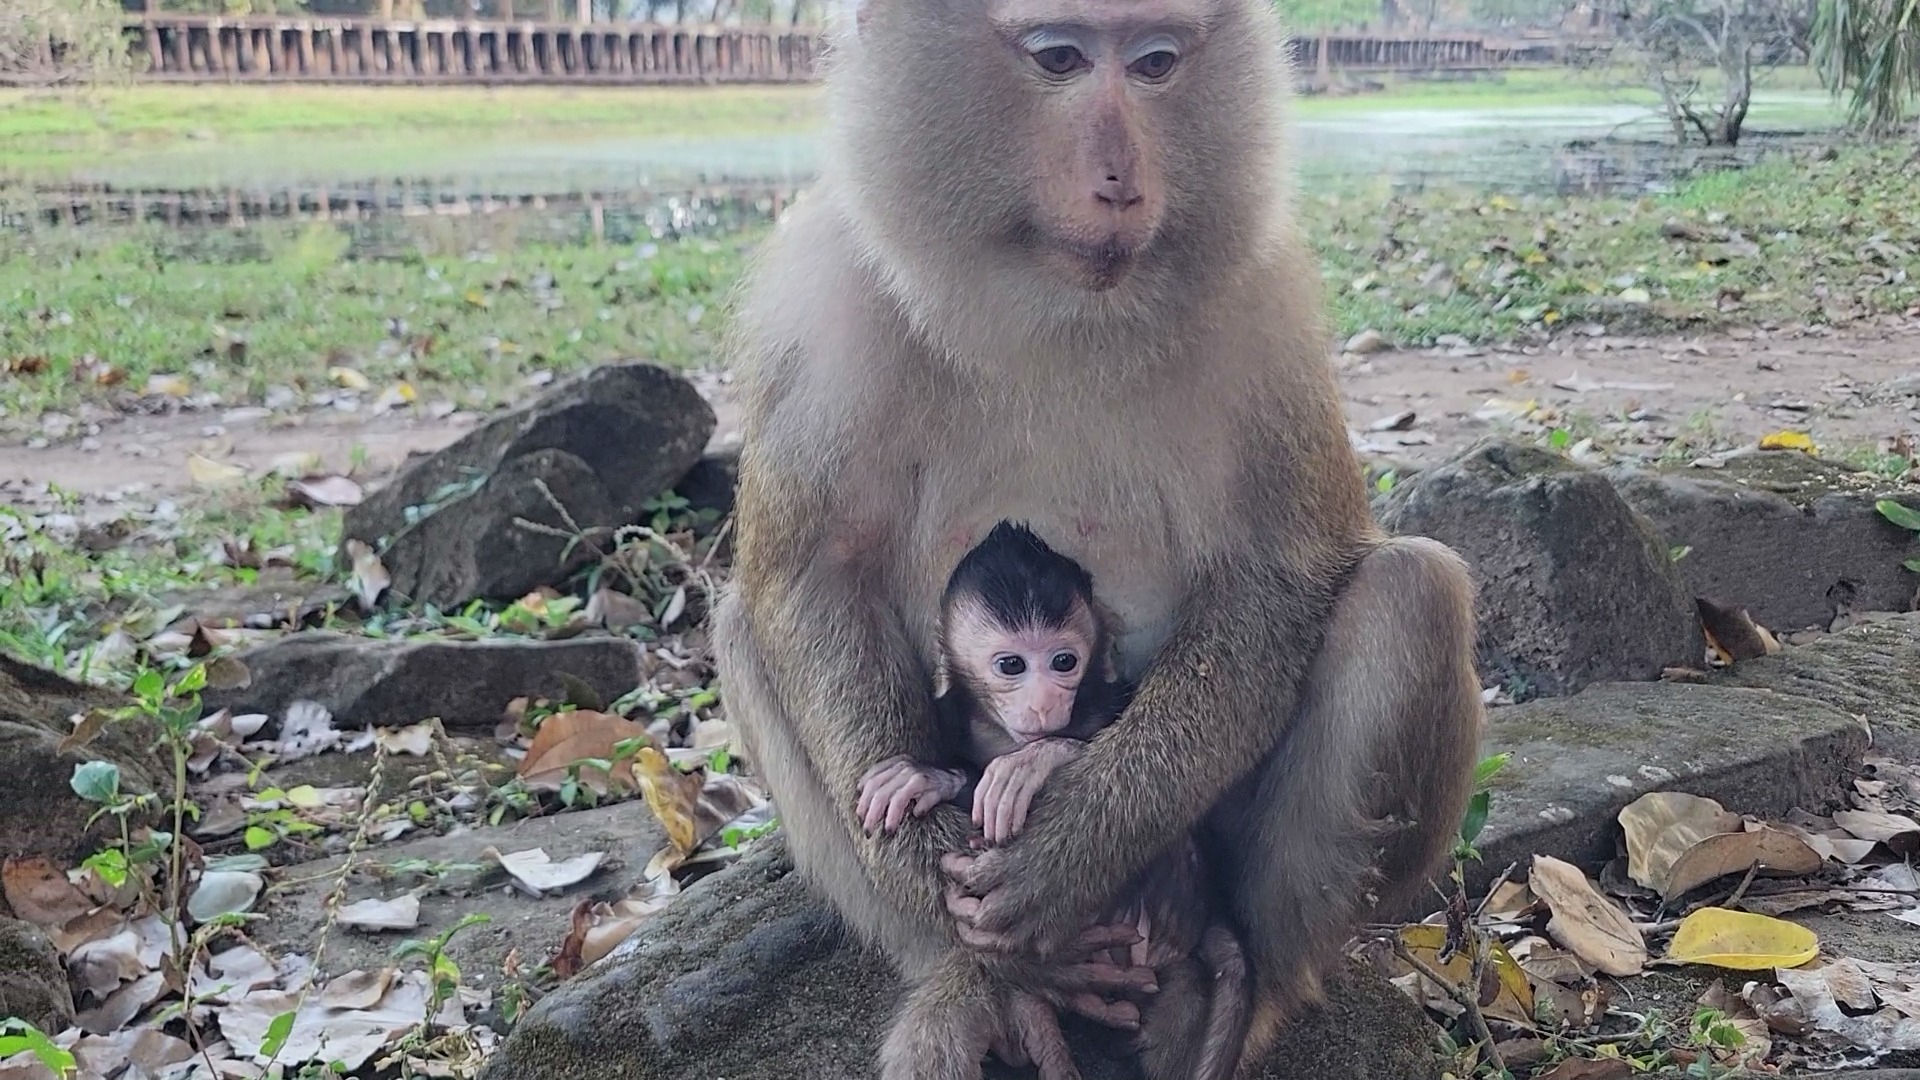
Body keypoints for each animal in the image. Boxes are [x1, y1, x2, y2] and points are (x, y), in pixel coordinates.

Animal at [855, 520, 1254, 1080]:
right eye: (1011, 665)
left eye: (1064, 661)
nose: (1045, 703)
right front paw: (927, 776)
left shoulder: (1110, 695)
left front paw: (1037, 760)